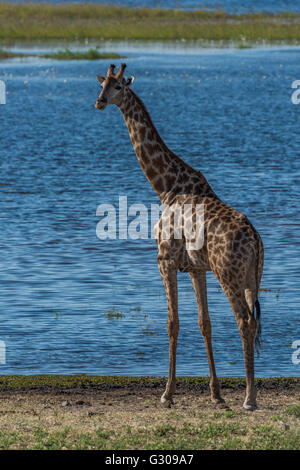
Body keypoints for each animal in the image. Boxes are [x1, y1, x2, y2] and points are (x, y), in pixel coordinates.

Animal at [95, 64, 264, 410]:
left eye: (118, 86)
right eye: (102, 83)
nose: (99, 101)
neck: (165, 187)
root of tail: (255, 240)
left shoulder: (165, 259)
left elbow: (172, 323)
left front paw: (167, 393)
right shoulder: (197, 269)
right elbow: (204, 324)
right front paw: (216, 394)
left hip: (229, 275)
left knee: (244, 322)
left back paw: (249, 398)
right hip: (252, 278)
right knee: (252, 322)